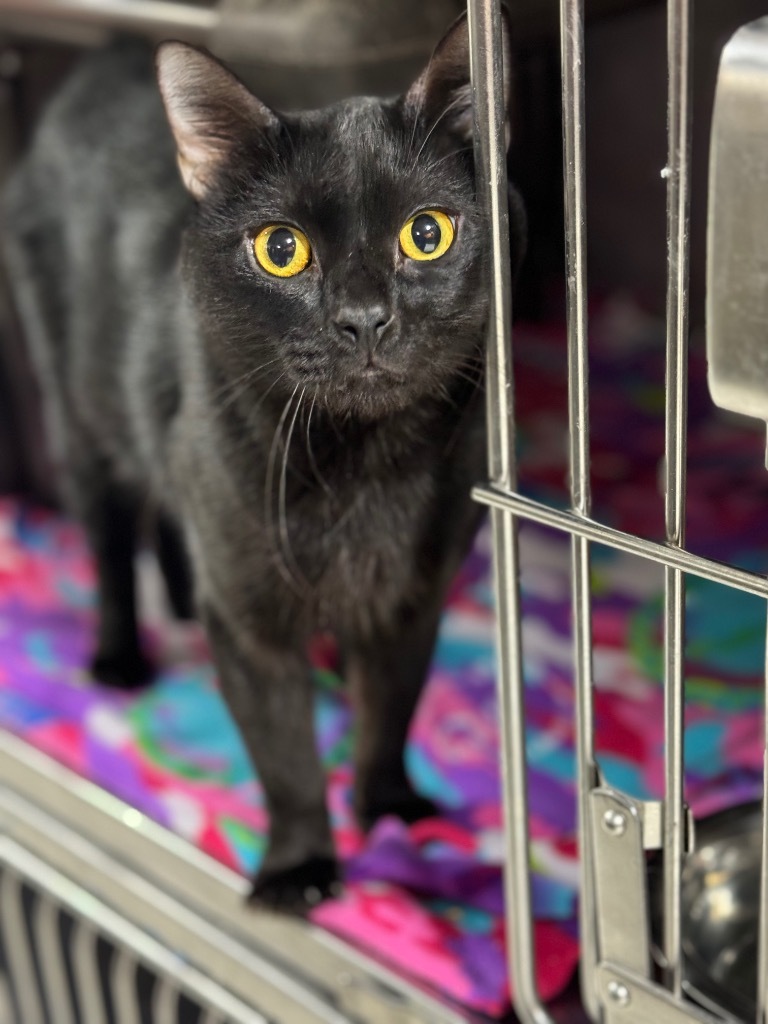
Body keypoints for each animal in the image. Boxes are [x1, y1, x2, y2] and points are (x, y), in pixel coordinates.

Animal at [4, 12, 524, 913]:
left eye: (427, 234)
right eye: (282, 249)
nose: (364, 317)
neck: (361, 467)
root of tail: (106, 54)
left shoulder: (414, 596)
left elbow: (392, 705)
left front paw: (388, 808)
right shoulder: (250, 618)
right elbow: (282, 749)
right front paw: (300, 867)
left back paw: (189, 607)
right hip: (82, 419)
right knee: (110, 541)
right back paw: (121, 657)